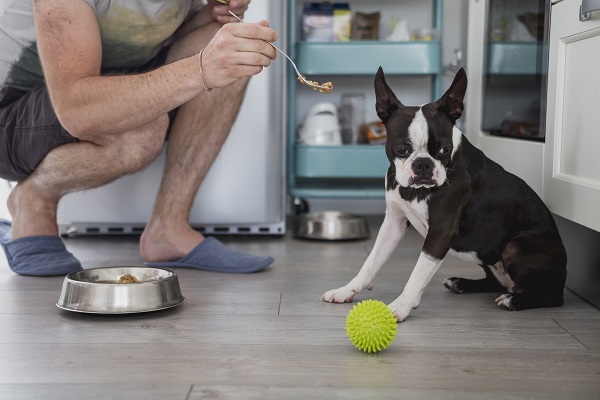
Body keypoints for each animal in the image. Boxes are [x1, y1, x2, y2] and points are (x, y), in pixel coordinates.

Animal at [322, 65, 564, 322]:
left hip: (516, 246)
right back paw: (461, 283)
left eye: (443, 149)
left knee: (551, 296)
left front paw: (400, 306)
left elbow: (418, 273)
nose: (423, 164)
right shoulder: (393, 222)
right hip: (486, 253)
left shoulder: (441, 231)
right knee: (497, 282)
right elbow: (371, 261)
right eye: (401, 149)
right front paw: (346, 290)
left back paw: (514, 300)